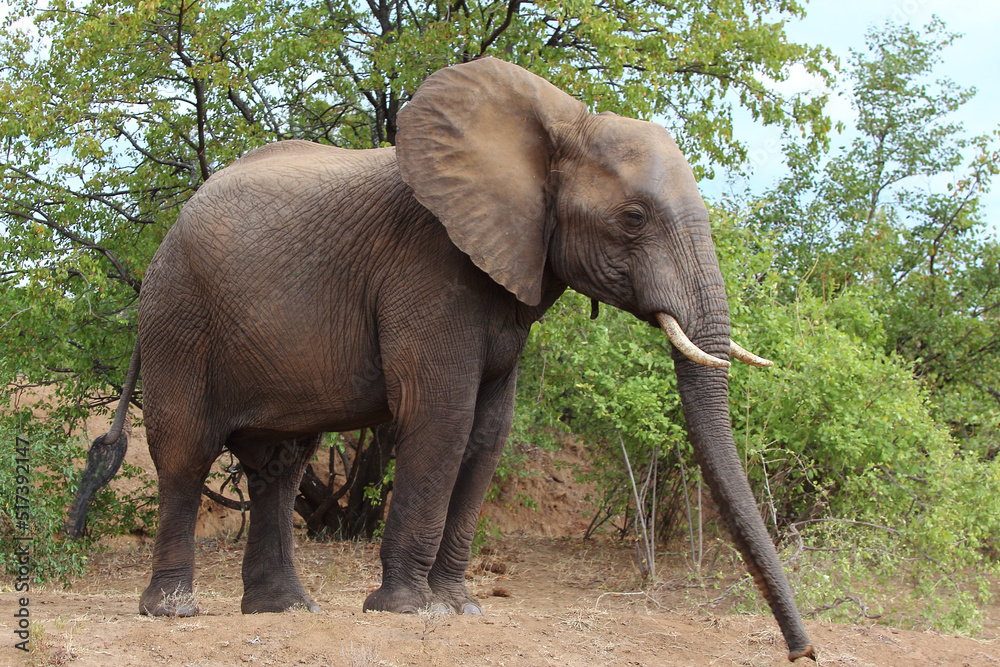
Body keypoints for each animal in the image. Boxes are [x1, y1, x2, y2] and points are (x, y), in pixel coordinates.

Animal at [69, 57, 814, 661]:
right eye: (632, 219)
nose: (802, 651)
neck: (556, 125)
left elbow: (488, 432)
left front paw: (461, 607)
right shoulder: (429, 268)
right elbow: (442, 420)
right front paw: (409, 611)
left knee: (280, 463)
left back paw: (286, 610)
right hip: (179, 315)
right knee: (188, 453)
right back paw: (174, 613)